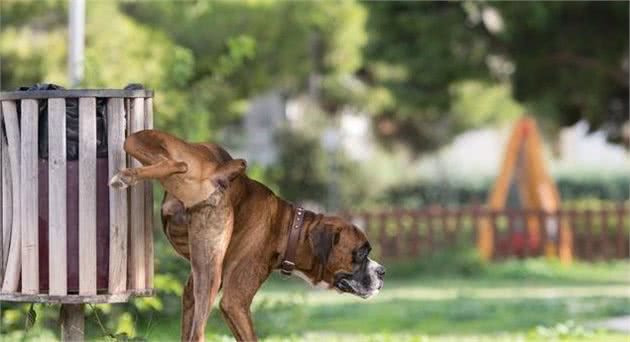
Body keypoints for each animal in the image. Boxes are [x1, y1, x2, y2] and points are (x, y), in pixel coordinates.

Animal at [160, 143, 388, 340]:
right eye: (361, 253)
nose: (382, 271)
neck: (287, 229)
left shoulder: (191, 294)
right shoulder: (235, 302)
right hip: (210, 280)